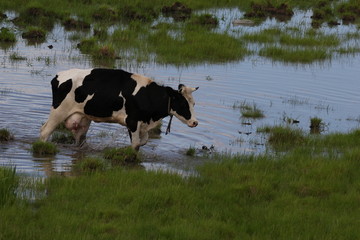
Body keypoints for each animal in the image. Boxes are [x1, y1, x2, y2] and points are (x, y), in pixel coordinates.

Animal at [39, 68, 200, 150]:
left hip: (82, 118)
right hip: (58, 111)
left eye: (193, 103)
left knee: (80, 138)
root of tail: (59, 75)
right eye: (183, 104)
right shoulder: (132, 121)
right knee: (45, 131)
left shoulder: (142, 124)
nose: (195, 122)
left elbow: (144, 141)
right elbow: (135, 144)